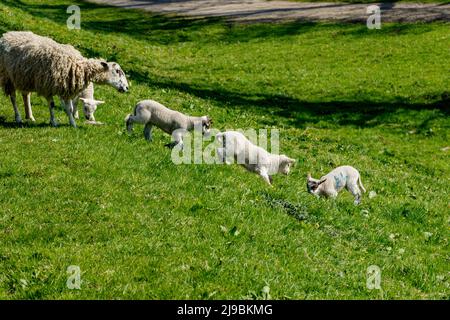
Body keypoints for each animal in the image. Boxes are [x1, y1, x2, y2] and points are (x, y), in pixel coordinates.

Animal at [0, 31, 128, 127]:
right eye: (117, 71)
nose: (127, 88)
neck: (79, 67)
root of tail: (7, 34)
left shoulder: (66, 89)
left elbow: (70, 108)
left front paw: (72, 123)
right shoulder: (48, 86)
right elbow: (52, 105)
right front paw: (54, 122)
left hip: (24, 77)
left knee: (26, 95)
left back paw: (30, 116)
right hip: (8, 77)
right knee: (13, 98)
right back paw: (18, 118)